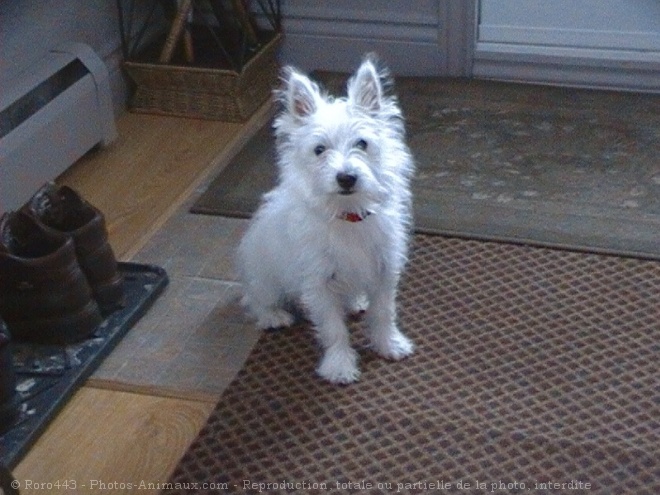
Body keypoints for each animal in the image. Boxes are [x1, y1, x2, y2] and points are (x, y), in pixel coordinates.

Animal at [236, 56, 412, 386]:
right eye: (319, 149)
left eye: (362, 143)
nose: (346, 177)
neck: (348, 214)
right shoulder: (319, 284)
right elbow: (333, 329)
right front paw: (340, 366)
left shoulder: (384, 271)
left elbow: (384, 313)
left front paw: (389, 345)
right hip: (264, 277)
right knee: (254, 299)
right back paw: (273, 316)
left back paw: (356, 301)